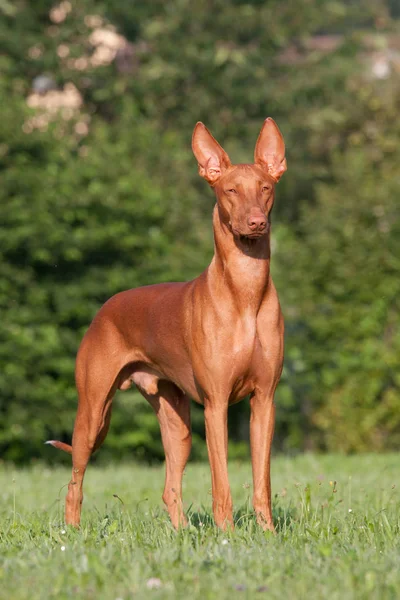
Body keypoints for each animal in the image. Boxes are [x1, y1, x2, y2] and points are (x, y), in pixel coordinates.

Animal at [48, 117, 286, 528]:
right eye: (230, 190)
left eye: (265, 188)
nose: (255, 223)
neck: (245, 293)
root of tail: (105, 307)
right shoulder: (216, 405)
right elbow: (221, 483)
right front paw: (227, 533)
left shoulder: (264, 401)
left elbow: (262, 482)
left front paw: (267, 533)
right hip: (92, 414)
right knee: (74, 484)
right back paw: (72, 531)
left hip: (179, 424)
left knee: (170, 488)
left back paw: (182, 533)